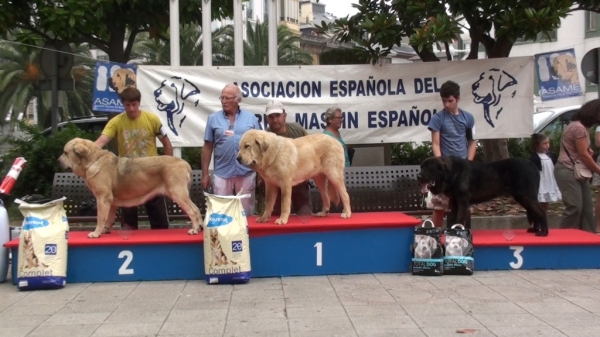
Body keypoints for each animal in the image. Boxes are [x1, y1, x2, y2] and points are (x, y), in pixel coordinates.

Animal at [58, 138, 204, 238]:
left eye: (65, 152)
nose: (58, 161)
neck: (94, 160)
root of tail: (184, 163)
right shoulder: (110, 202)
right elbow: (109, 218)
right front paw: (105, 230)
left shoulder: (102, 199)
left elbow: (100, 218)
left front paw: (96, 233)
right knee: (196, 209)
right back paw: (200, 228)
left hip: (178, 193)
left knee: (193, 210)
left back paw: (194, 229)